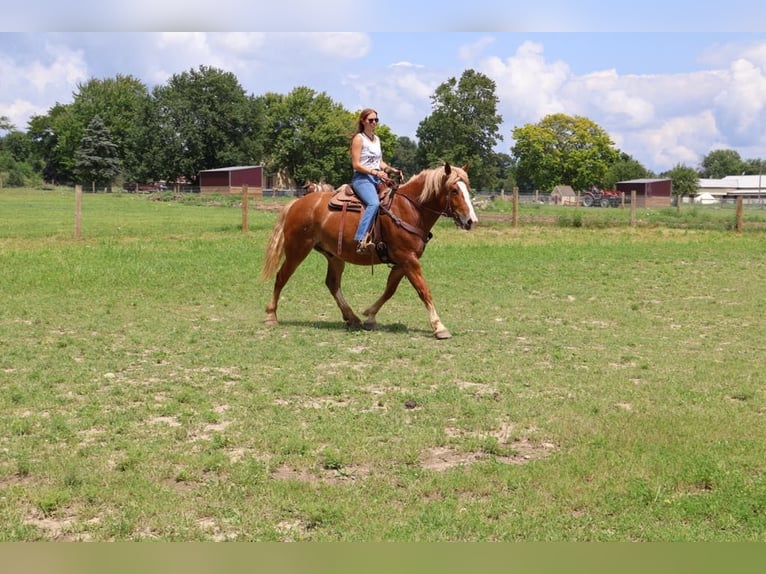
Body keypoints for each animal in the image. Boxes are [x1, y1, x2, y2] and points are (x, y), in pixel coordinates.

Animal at [261, 163, 478, 339]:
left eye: (467, 188)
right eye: (453, 190)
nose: (471, 221)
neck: (409, 209)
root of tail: (296, 203)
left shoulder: (402, 262)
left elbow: (390, 290)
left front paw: (370, 316)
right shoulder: (408, 259)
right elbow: (424, 290)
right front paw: (439, 326)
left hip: (334, 256)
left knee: (332, 283)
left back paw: (352, 317)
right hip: (297, 250)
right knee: (281, 277)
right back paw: (271, 315)